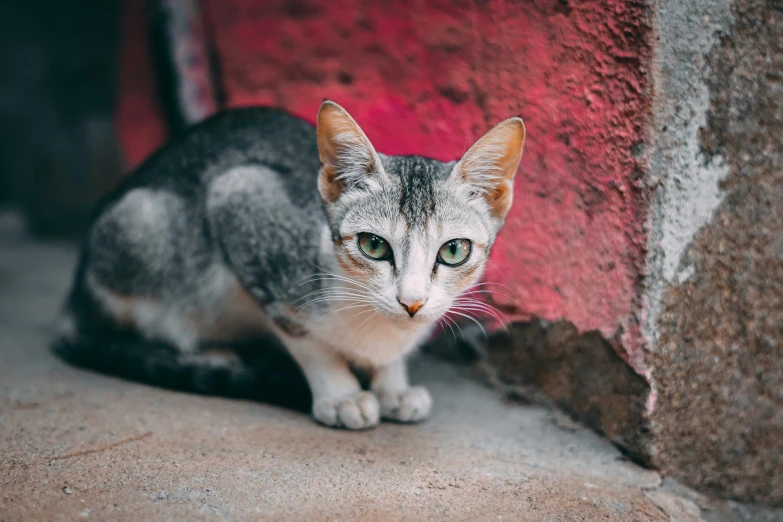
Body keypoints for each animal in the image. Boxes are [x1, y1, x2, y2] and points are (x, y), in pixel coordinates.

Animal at [55, 100, 528, 426]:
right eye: (374, 246)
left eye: (454, 251)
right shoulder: (241, 197)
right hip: (140, 224)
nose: (411, 302)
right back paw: (214, 354)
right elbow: (304, 336)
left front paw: (393, 385)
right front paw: (341, 393)